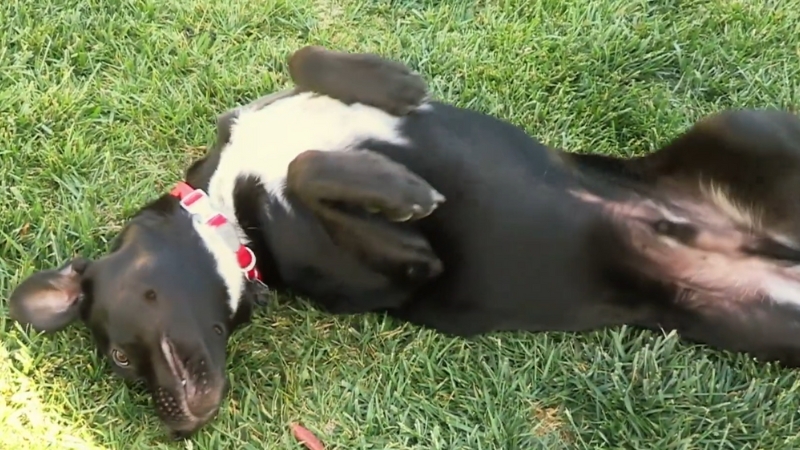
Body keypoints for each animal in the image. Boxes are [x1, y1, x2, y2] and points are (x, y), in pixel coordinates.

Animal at [12, 44, 800, 438]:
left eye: (119, 356)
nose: (174, 422)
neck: (228, 208)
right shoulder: (413, 267)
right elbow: (308, 170)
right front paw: (398, 188)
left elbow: (303, 65)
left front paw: (391, 91)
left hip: (748, 124)